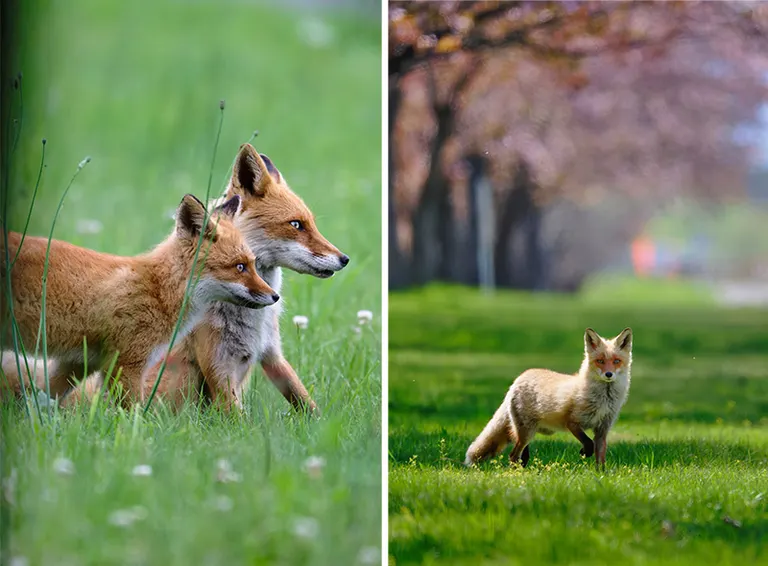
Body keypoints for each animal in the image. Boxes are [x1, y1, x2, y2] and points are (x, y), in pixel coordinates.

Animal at [0, 193, 280, 406]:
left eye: (253, 264)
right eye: (239, 267)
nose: (275, 296)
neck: (159, 289)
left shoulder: (78, 363)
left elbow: (40, 399)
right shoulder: (127, 365)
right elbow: (135, 419)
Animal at [464, 326, 632, 472]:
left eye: (616, 361)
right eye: (600, 361)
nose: (609, 374)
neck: (603, 400)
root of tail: (519, 379)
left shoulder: (602, 430)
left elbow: (600, 459)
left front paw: (600, 475)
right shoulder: (572, 422)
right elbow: (588, 442)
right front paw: (584, 452)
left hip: (526, 433)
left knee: (523, 456)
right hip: (526, 432)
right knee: (513, 455)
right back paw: (516, 474)